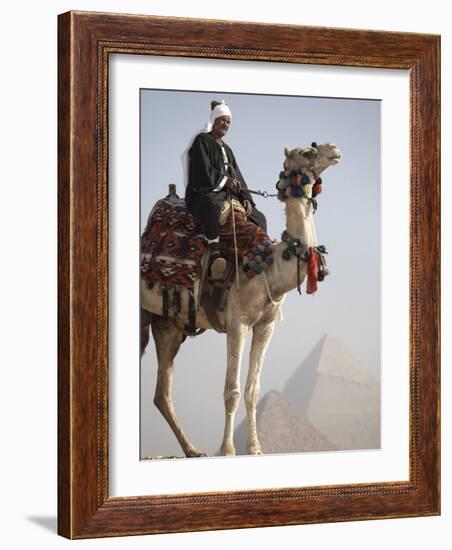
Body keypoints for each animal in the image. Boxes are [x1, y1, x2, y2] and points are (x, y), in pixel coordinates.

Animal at [139, 141, 340, 458]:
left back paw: (193, 450)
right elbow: (231, 390)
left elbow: (252, 390)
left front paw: (255, 447)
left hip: (167, 325)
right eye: (308, 151)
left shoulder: (266, 325)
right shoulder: (238, 323)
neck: (267, 266)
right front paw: (227, 449)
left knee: (162, 393)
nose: (334, 149)